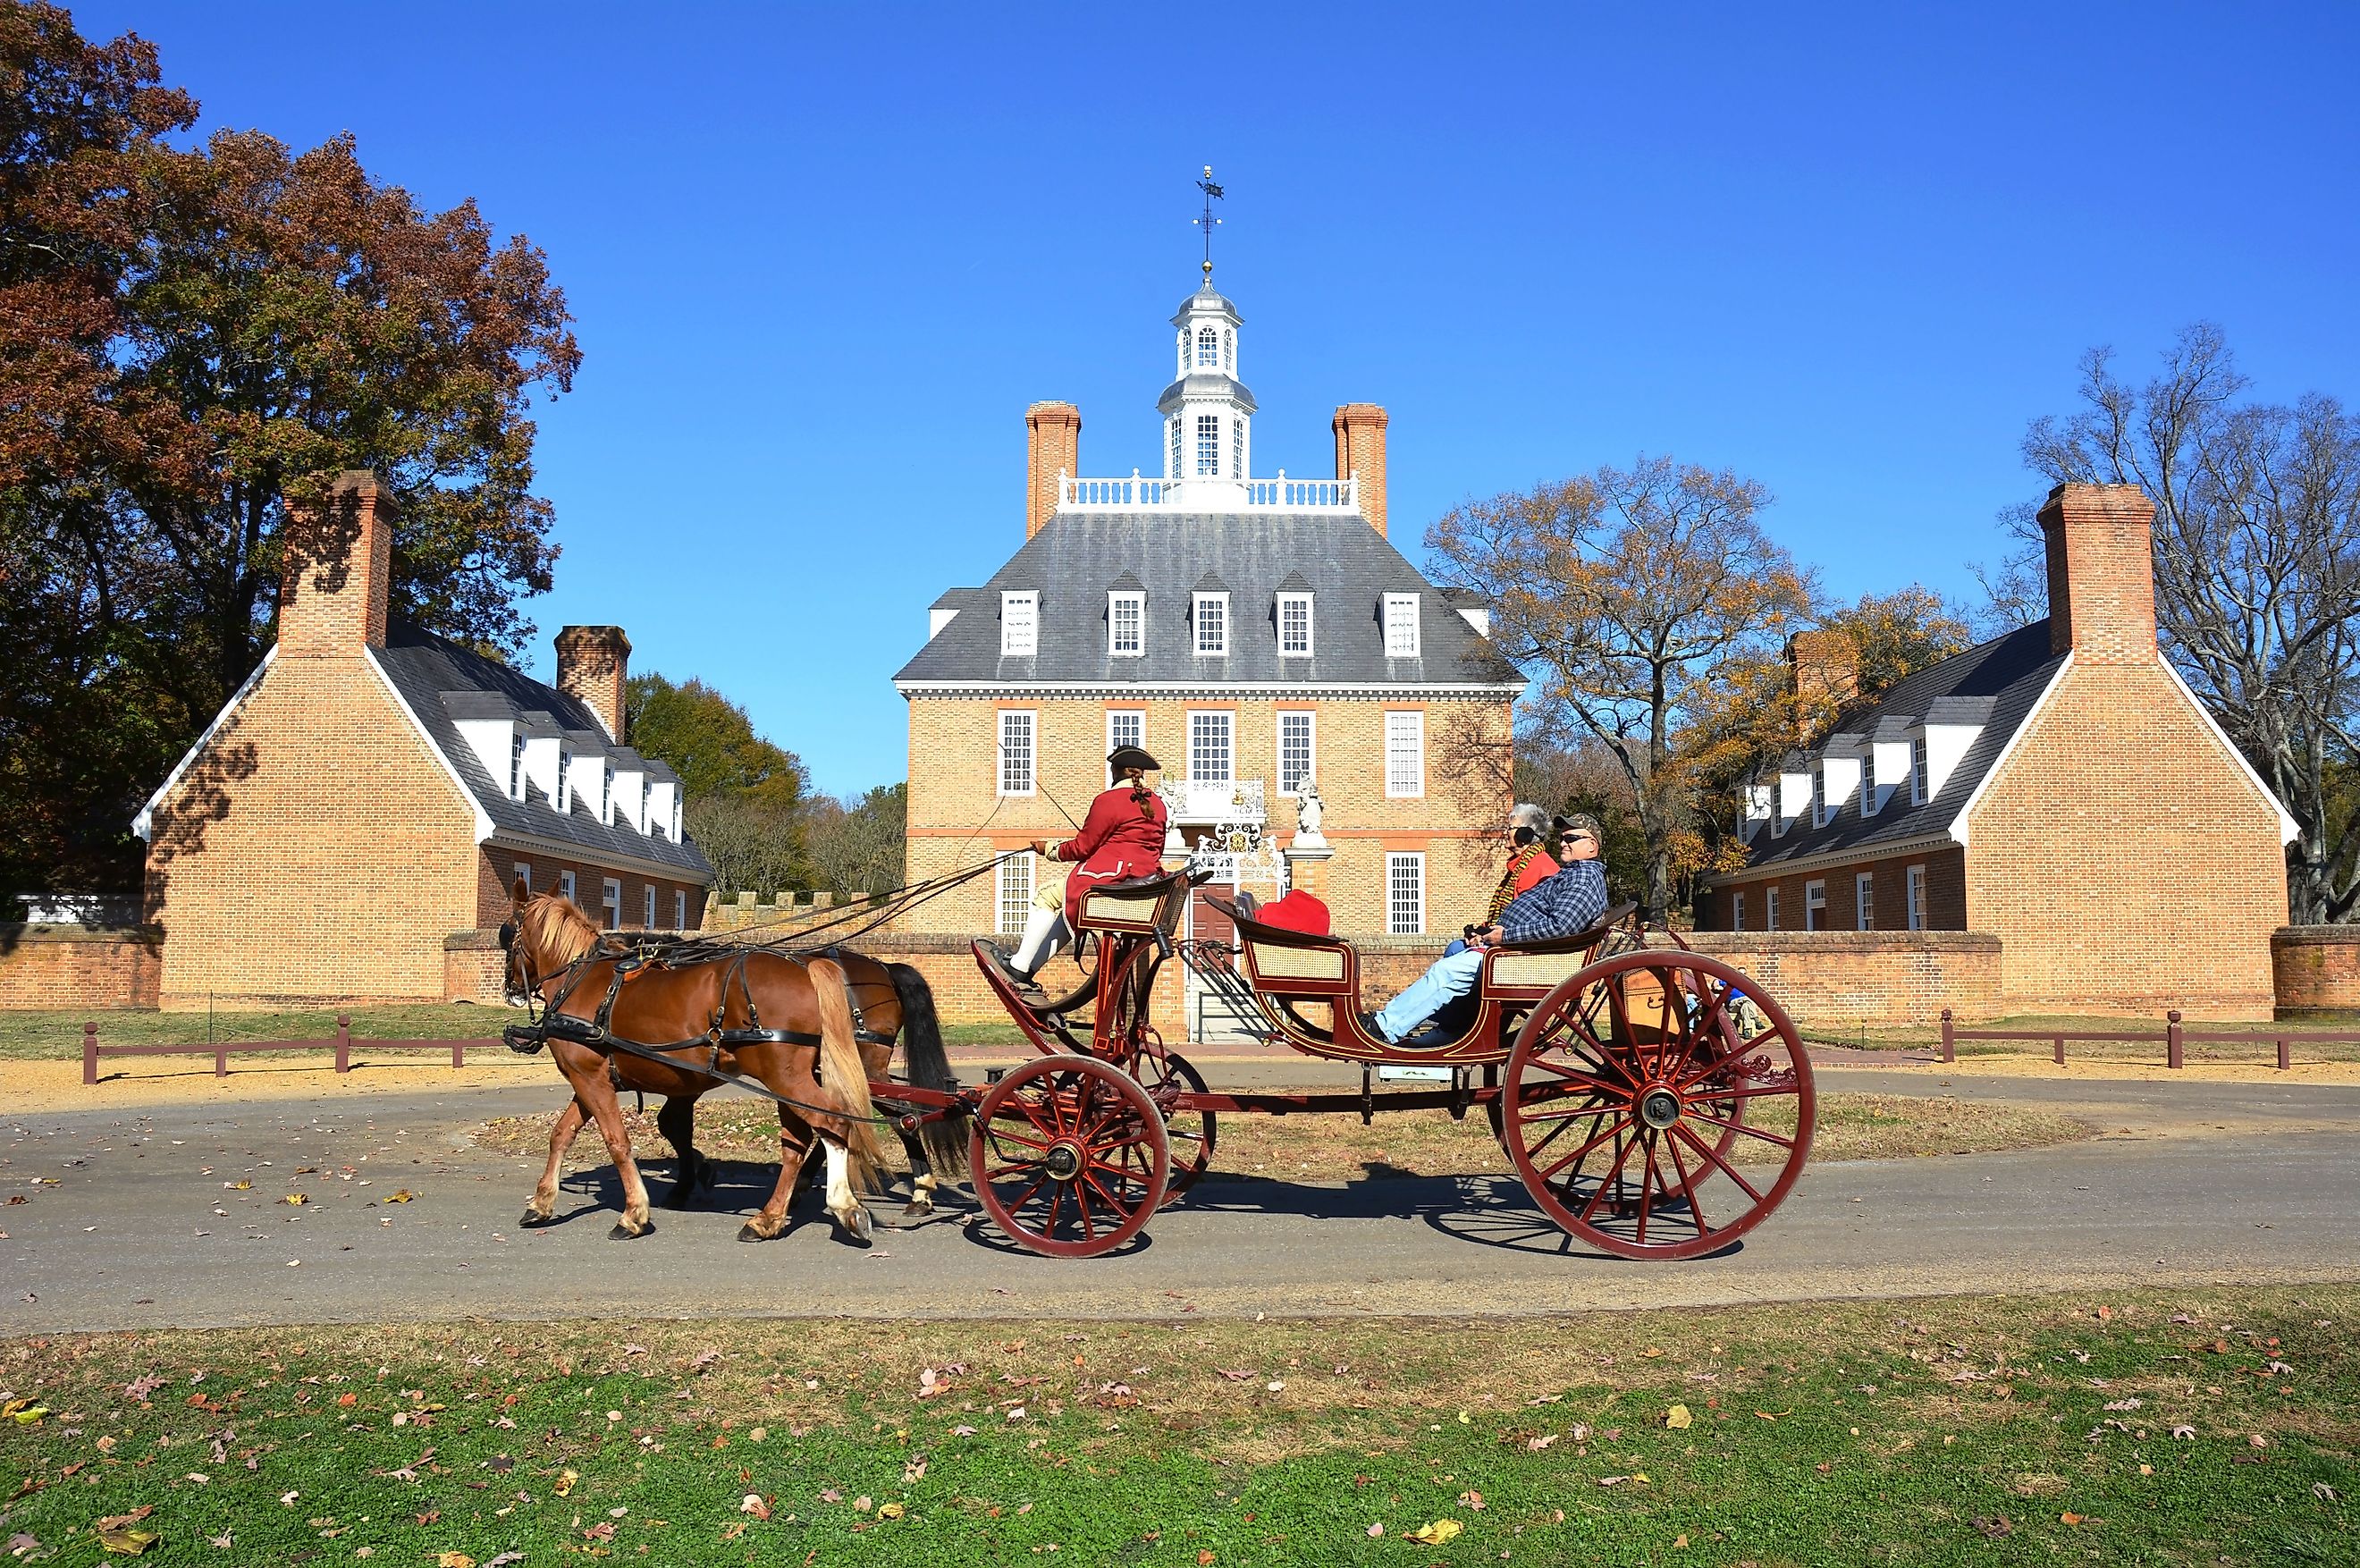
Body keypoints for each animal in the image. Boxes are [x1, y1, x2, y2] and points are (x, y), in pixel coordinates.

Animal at [504, 888, 967, 1246]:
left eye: (507, 933)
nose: (510, 987)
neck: (586, 982)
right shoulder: (598, 1079)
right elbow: (563, 1134)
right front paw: (542, 1203)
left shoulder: (594, 1077)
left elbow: (620, 1141)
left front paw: (636, 1212)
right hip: (801, 1077)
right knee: (812, 1136)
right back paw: (778, 1214)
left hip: (807, 1074)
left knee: (848, 1122)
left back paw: (853, 1202)